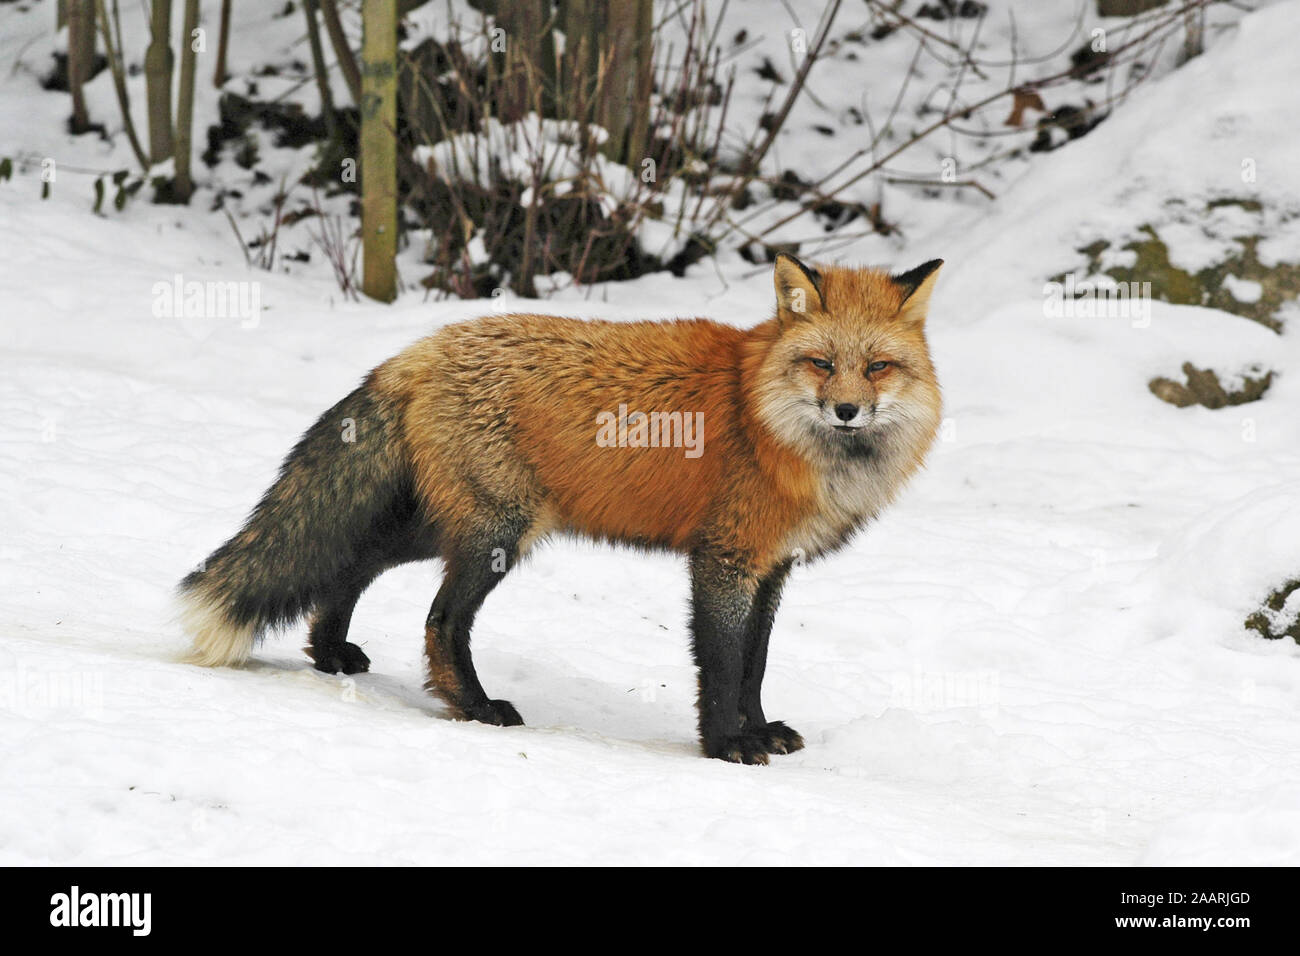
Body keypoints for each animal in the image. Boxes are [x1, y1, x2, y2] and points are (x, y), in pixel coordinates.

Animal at [175, 252, 946, 764]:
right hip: (498, 532)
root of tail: (420, 349)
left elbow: (754, 666)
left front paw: (758, 731)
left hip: (443, 524)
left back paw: (331, 653)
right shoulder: (723, 561)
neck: (765, 417)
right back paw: (475, 707)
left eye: (877, 368)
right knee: (440, 620)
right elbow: (723, 665)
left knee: (352, 563)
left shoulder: (773, 567)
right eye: (822, 363)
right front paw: (727, 743)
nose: (846, 410)